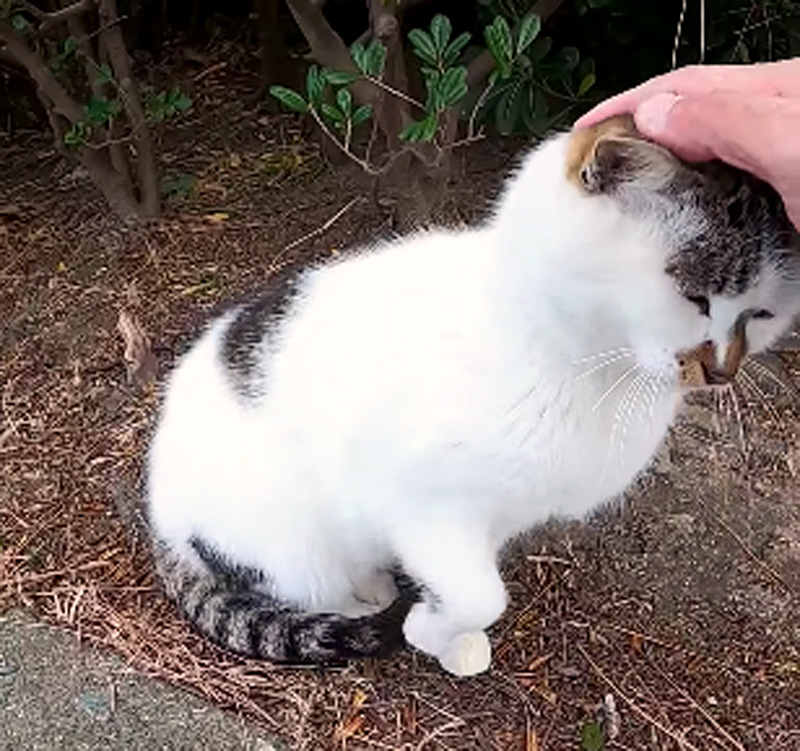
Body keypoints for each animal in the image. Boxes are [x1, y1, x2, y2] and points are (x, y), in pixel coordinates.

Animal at [145, 116, 800, 676]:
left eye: (764, 314)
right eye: (694, 296)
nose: (721, 371)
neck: (590, 369)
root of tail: (159, 514)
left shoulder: (497, 513)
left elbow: (470, 579)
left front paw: (445, 633)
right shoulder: (416, 500)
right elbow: (481, 593)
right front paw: (427, 629)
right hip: (292, 539)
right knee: (311, 585)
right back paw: (362, 598)